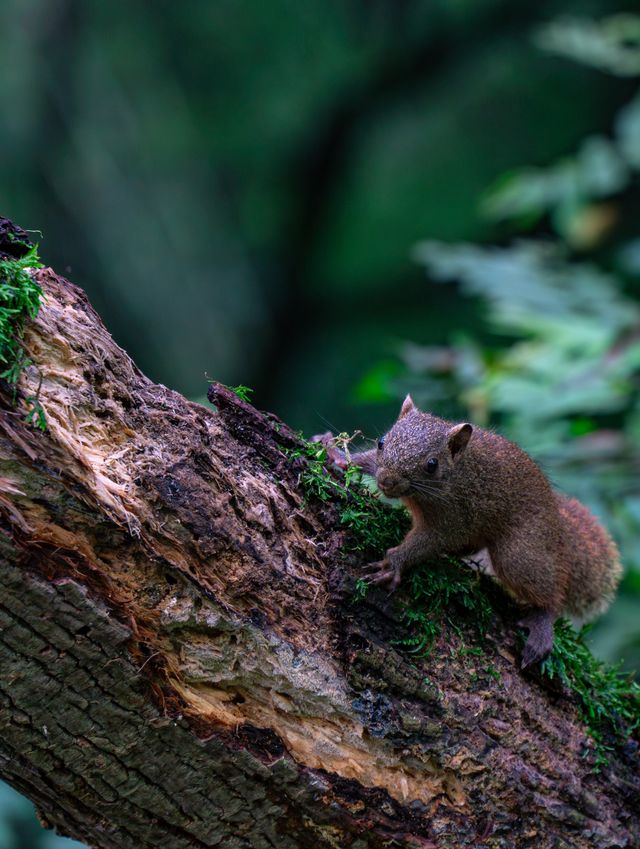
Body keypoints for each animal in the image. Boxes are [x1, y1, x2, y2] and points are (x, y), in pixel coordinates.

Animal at [318, 394, 620, 664]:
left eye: (431, 464)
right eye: (382, 442)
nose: (387, 481)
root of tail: (557, 529)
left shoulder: (454, 518)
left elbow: (427, 543)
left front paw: (394, 564)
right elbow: (365, 461)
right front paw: (336, 455)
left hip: (520, 552)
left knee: (551, 592)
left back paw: (542, 625)